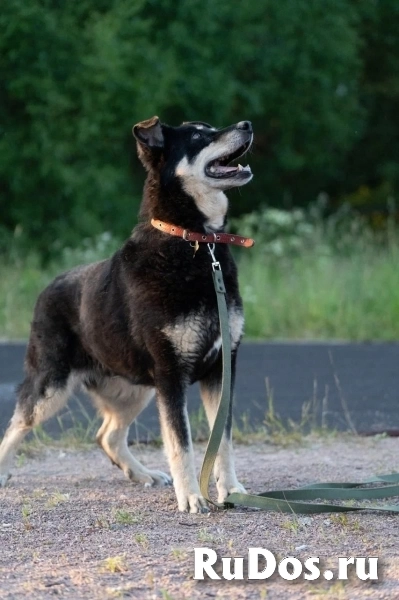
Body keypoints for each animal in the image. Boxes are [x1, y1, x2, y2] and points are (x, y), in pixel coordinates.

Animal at [0, 118, 255, 516]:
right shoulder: (171, 376)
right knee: (17, 423)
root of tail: (49, 286)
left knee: (107, 435)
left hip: (135, 389)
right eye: (200, 135)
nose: (247, 124)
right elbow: (181, 444)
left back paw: (143, 474)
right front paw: (192, 497)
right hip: (51, 386)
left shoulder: (220, 368)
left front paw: (231, 490)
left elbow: (223, 442)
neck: (198, 244)